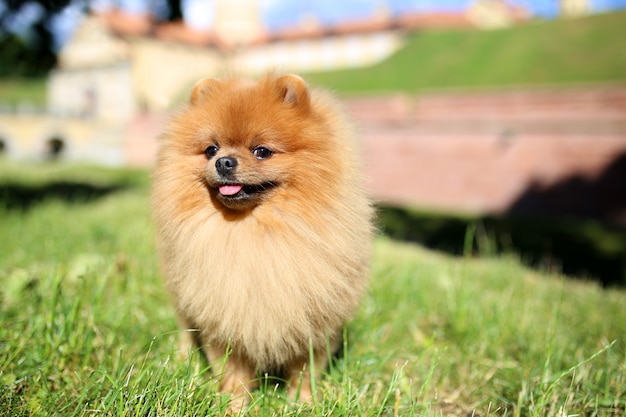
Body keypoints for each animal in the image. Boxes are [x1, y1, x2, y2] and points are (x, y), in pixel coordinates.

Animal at [152, 73, 370, 408]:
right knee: (185, 333)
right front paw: (233, 405)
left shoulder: (314, 321)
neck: (255, 234)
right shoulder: (224, 318)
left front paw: (302, 403)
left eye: (262, 151)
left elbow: (305, 368)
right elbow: (233, 370)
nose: (224, 162)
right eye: (211, 149)